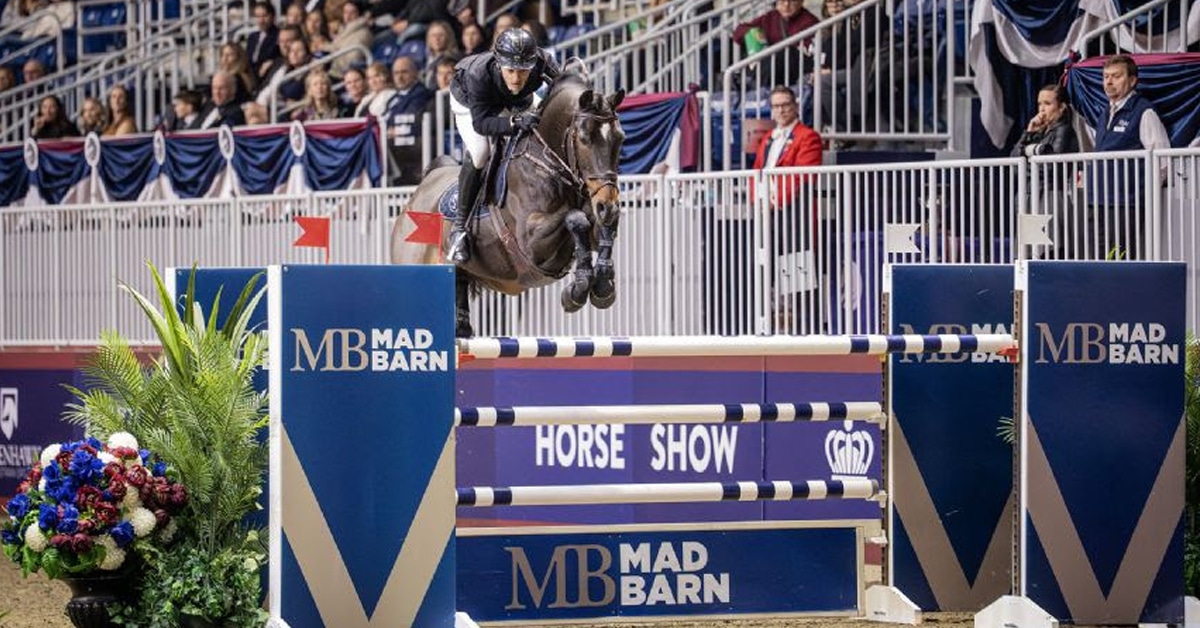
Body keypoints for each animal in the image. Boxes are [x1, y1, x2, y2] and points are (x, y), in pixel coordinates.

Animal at [389, 68, 626, 338]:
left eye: (620, 138)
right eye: (585, 139)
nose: (608, 204)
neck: (546, 162)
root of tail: (420, 190)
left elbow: (601, 228)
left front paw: (603, 285)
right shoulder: (530, 242)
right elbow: (575, 218)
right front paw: (578, 288)